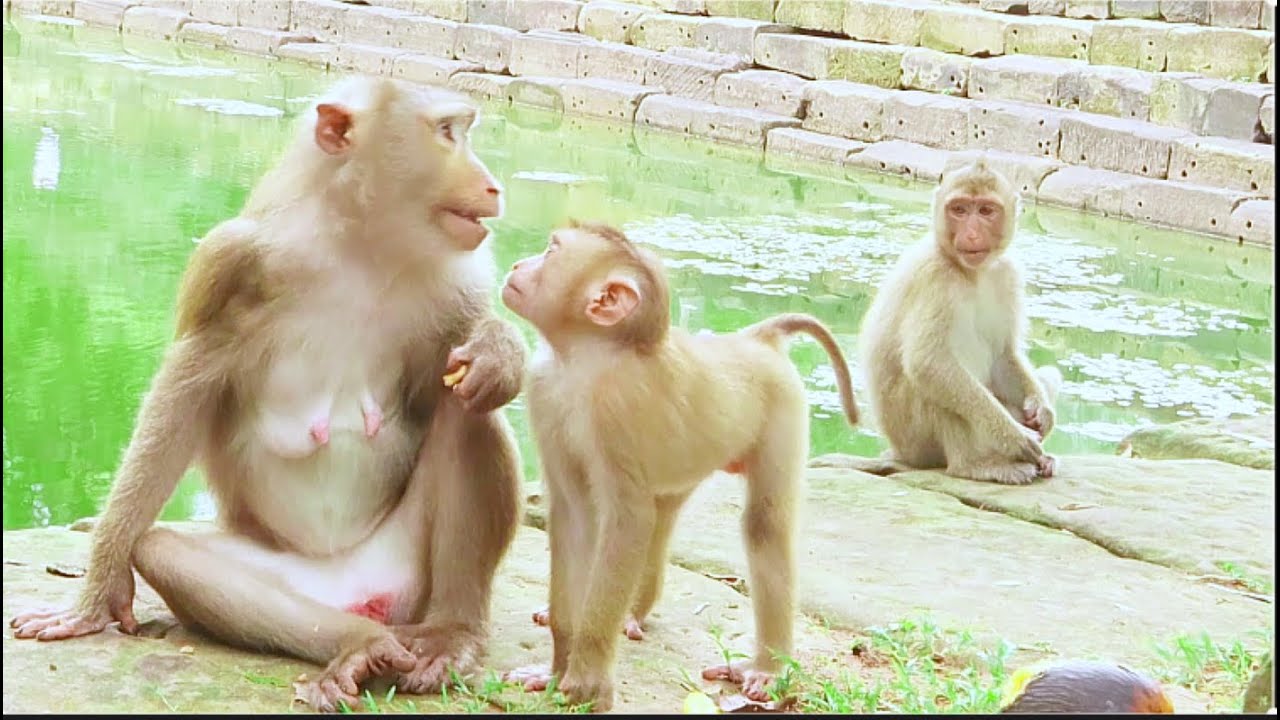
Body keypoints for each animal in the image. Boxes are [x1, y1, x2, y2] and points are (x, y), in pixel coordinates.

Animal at [8, 77, 527, 713]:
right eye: (448, 133)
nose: (492, 183)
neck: (358, 246)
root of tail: (358, 594)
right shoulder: (231, 264)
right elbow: (182, 399)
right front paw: (96, 595)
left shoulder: (458, 281)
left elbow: (460, 369)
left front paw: (500, 351)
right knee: (166, 551)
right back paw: (359, 645)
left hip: (410, 574)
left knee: (470, 407)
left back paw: (451, 634)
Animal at [497, 222, 860, 711]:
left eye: (551, 253)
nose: (519, 265)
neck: (588, 358)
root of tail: (754, 340)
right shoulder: (545, 392)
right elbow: (575, 514)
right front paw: (556, 667)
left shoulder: (616, 410)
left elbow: (627, 520)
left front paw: (588, 678)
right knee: (664, 512)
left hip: (784, 407)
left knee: (764, 526)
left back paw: (767, 668)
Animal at [856, 158, 1059, 485]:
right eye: (960, 209)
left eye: (986, 210)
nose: (973, 234)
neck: (970, 272)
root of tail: (898, 453)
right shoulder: (934, 276)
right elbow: (929, 363)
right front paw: (1015, 438)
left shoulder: (1007, 273)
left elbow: (1004, 355)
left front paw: (1041, 410)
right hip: (915, 441)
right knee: (932, 383)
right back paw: (976, 465)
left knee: (1048, 374)